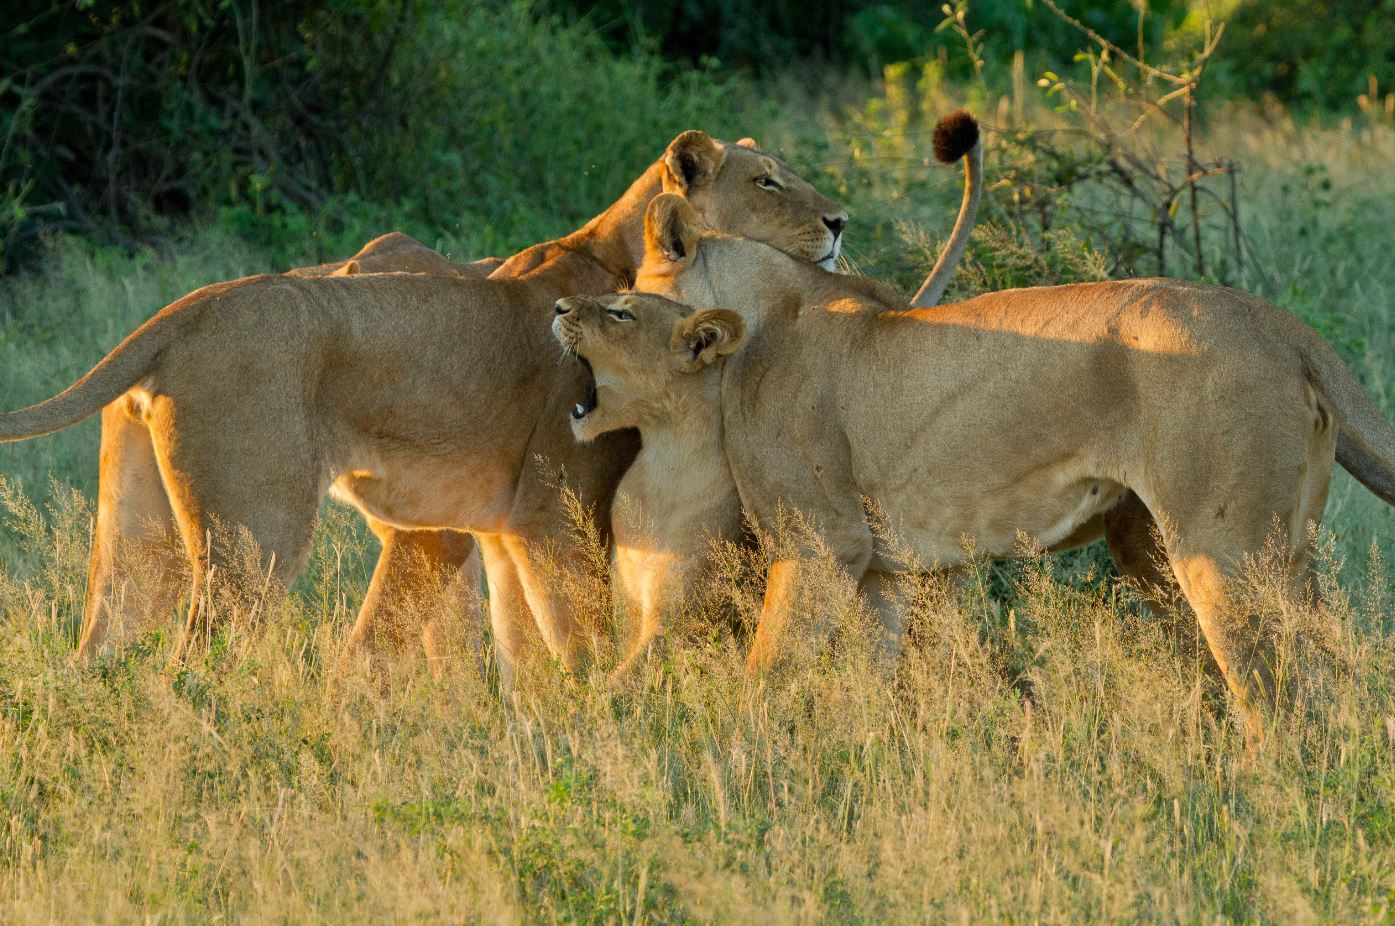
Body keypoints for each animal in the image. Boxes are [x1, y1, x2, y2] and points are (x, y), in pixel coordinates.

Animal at [552, 193, 1395, 736]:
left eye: (622, 304)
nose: (560, 308)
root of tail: (1274, 321)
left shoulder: (820, 544)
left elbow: (765, 676)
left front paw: (744, 767)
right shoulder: (882, 571)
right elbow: (863, 687)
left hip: (1221, 550)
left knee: (1273, 704)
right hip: (1287, 553)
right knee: (1335, 675)